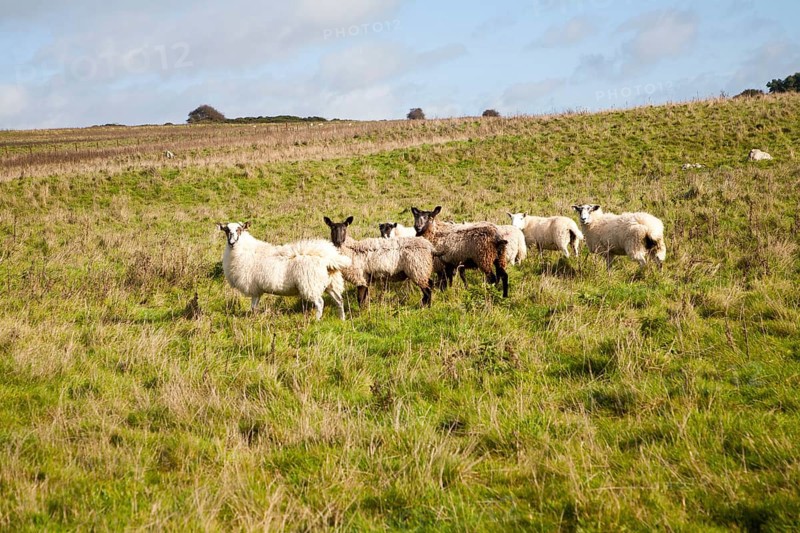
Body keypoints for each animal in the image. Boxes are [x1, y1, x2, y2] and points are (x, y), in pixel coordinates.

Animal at [217, 221, 351, 320]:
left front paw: (253, 320)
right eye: (226, 230)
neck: (244, 250)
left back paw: (317, 320)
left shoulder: (254, 289)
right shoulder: (258, 290)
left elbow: (253, 307)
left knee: (320, 303)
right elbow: (254, 308)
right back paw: (342, 319)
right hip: (331, 283)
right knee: (339, 300)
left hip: (310, 284)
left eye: (239, 229)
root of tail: (329, 257)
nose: (231, 242)